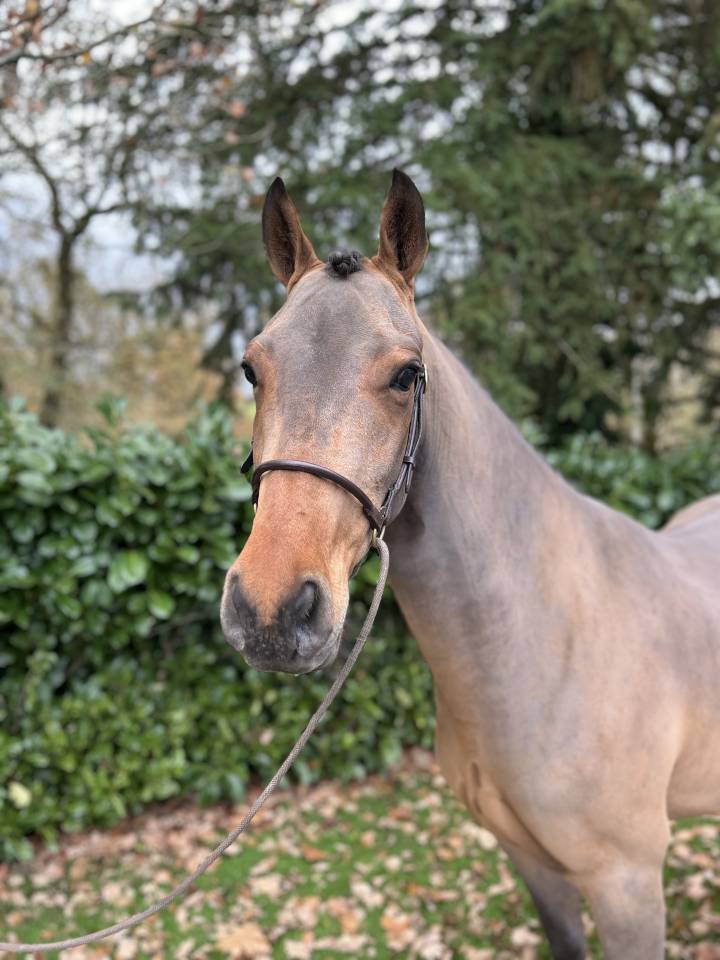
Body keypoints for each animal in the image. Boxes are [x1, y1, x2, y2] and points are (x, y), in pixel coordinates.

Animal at [220, 169, 720, 959]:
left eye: (405, 375)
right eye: (251, 369)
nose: (269, 612)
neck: (543, 645)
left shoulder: (628, 883)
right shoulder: (531, 863)